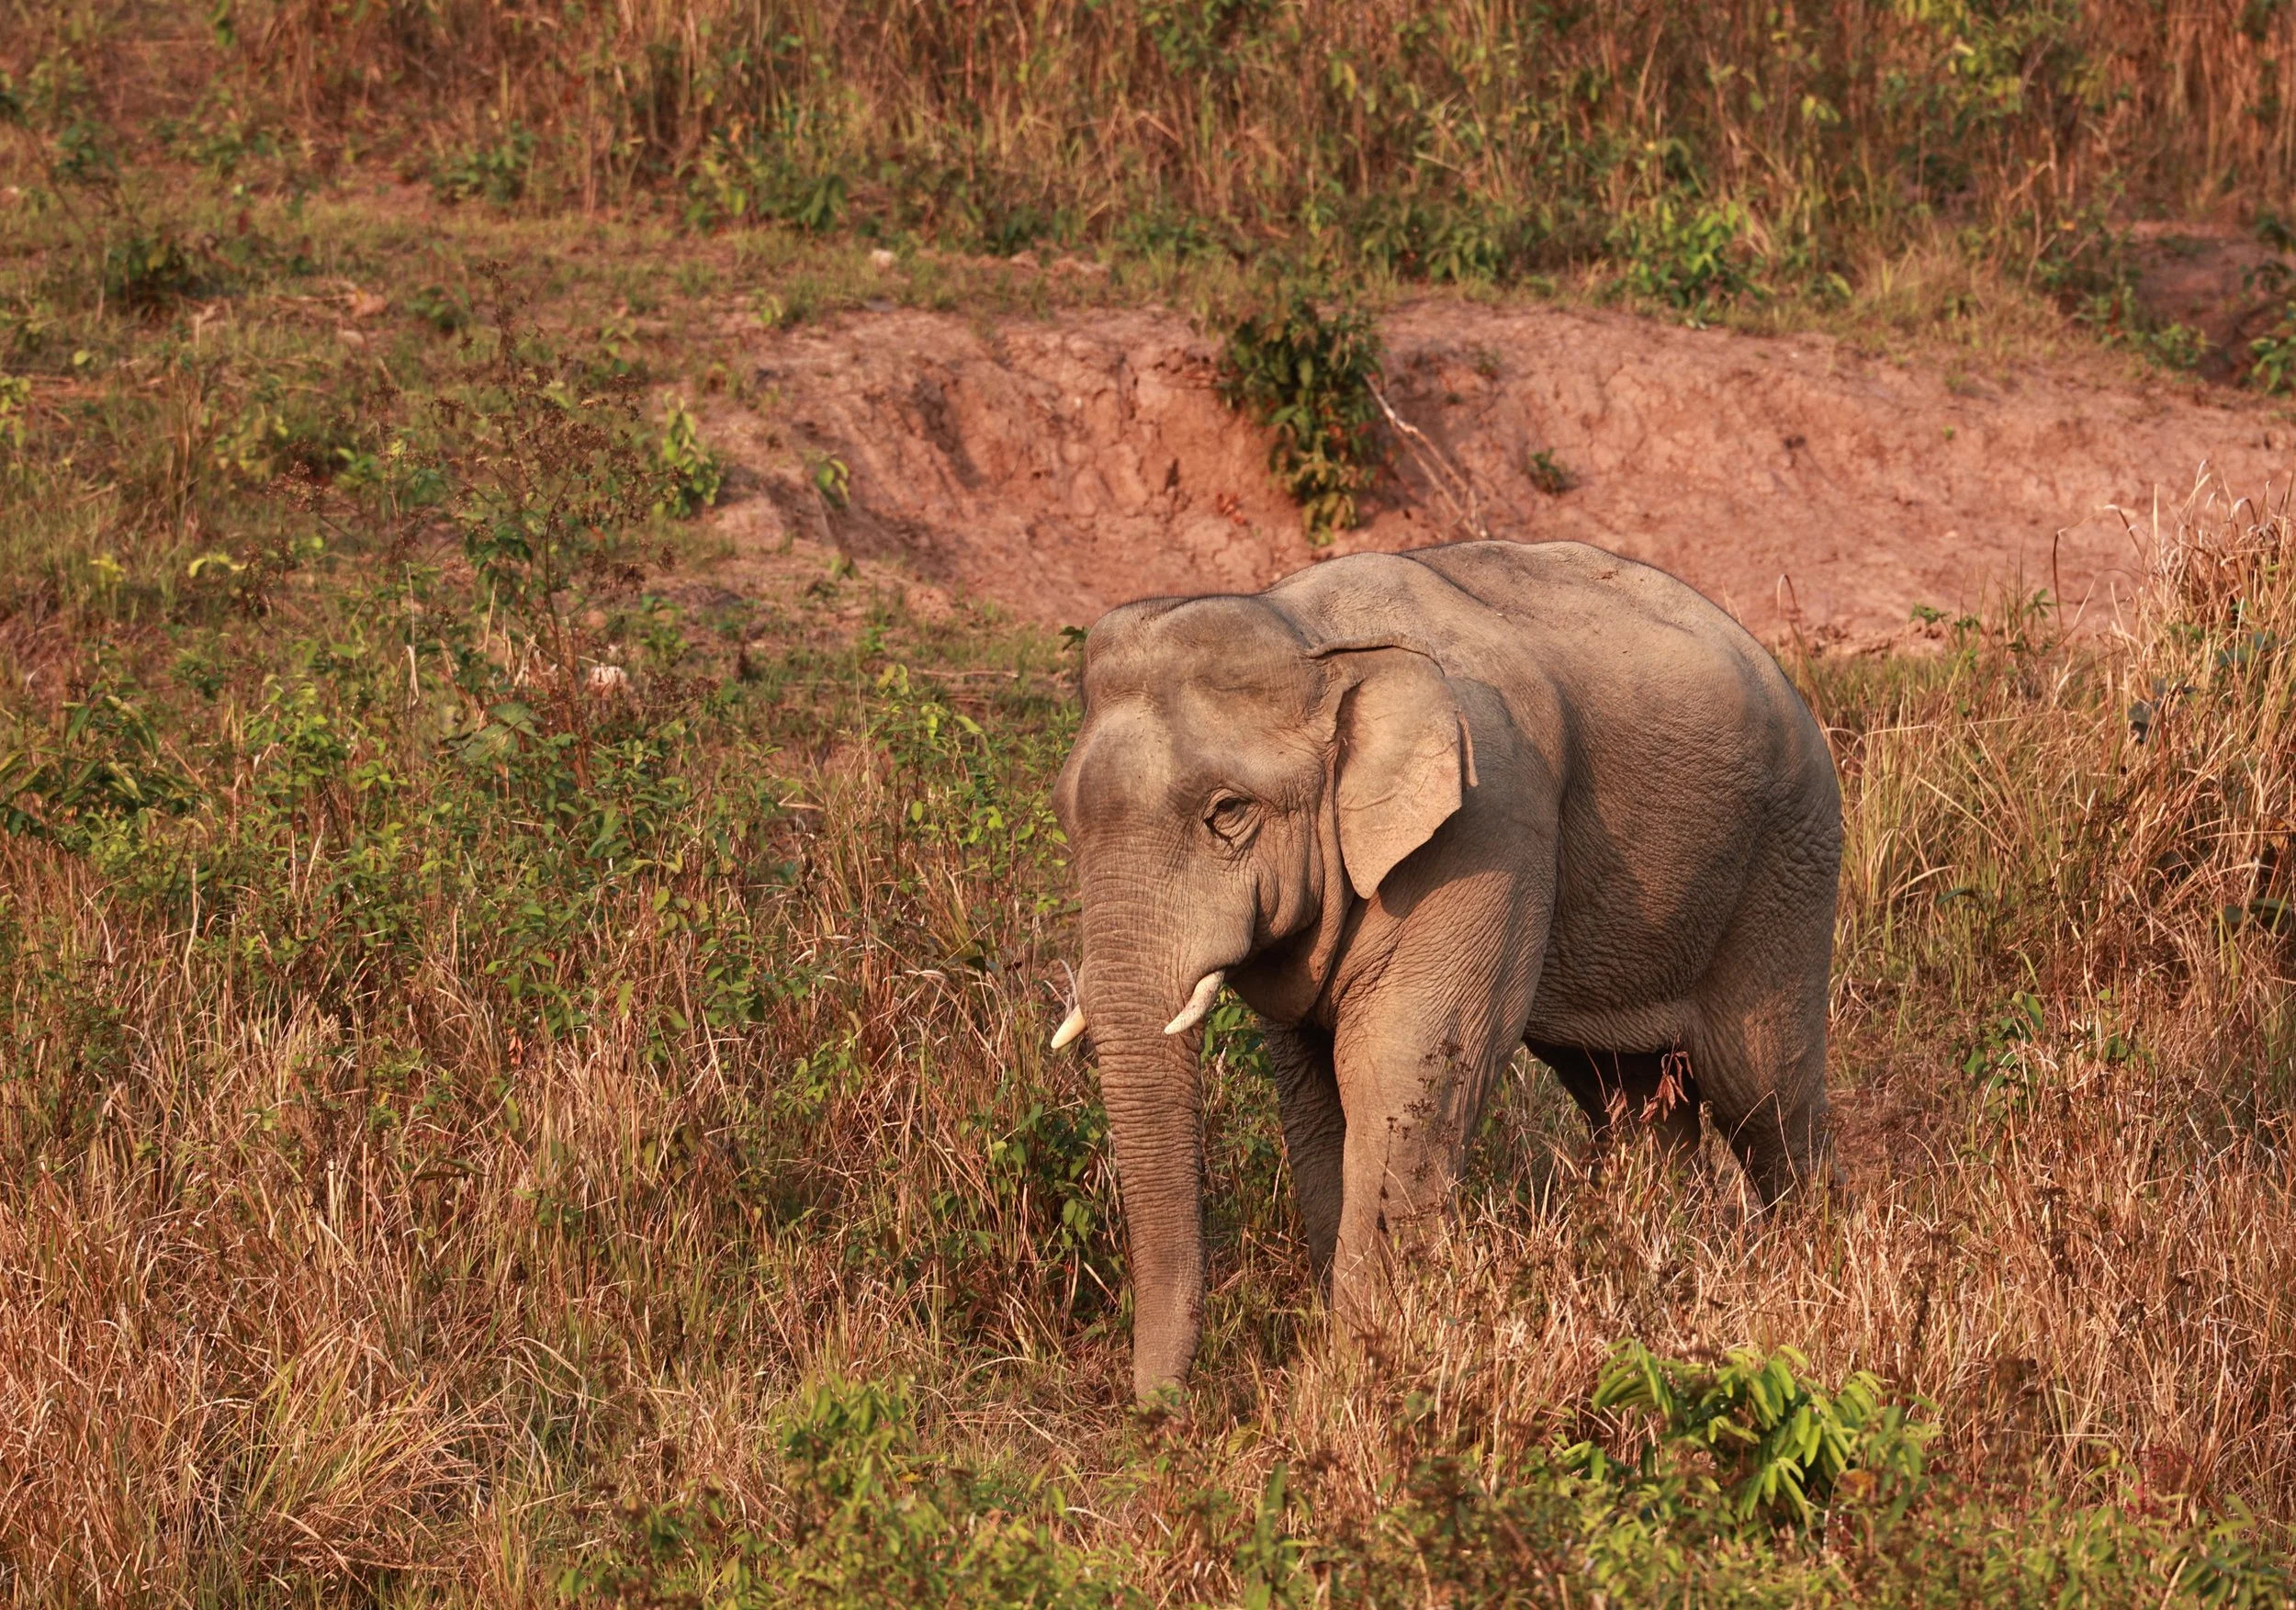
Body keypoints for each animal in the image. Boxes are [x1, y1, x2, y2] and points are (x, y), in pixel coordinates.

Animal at [1048, 540, 1841, 1398]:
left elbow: (1395, 1071)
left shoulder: (1486, 823)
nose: (1161, 1411)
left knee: (1764, 1089)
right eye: (1066, 815)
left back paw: (1807, 1278)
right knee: (1626, 1097)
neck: (1313, 638)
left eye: (1229, 813)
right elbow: (1315, 1091)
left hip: (1786, 868)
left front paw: (1360, 1371)